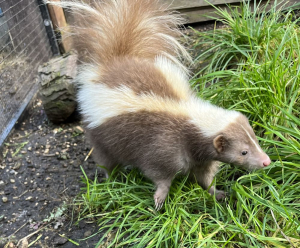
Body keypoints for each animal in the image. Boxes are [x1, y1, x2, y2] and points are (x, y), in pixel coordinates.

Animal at [47, 0, 272, 210]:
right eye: (243, 152)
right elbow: (159, 174)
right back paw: (111, 182)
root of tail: (113, 62)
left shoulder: (201, 156)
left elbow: (204, 177)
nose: (266, 161)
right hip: (99, 134)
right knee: (105, 160)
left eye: (255, 141)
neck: (192, 117)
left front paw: (217, 193)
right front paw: (159, 198)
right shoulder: (162, 145)